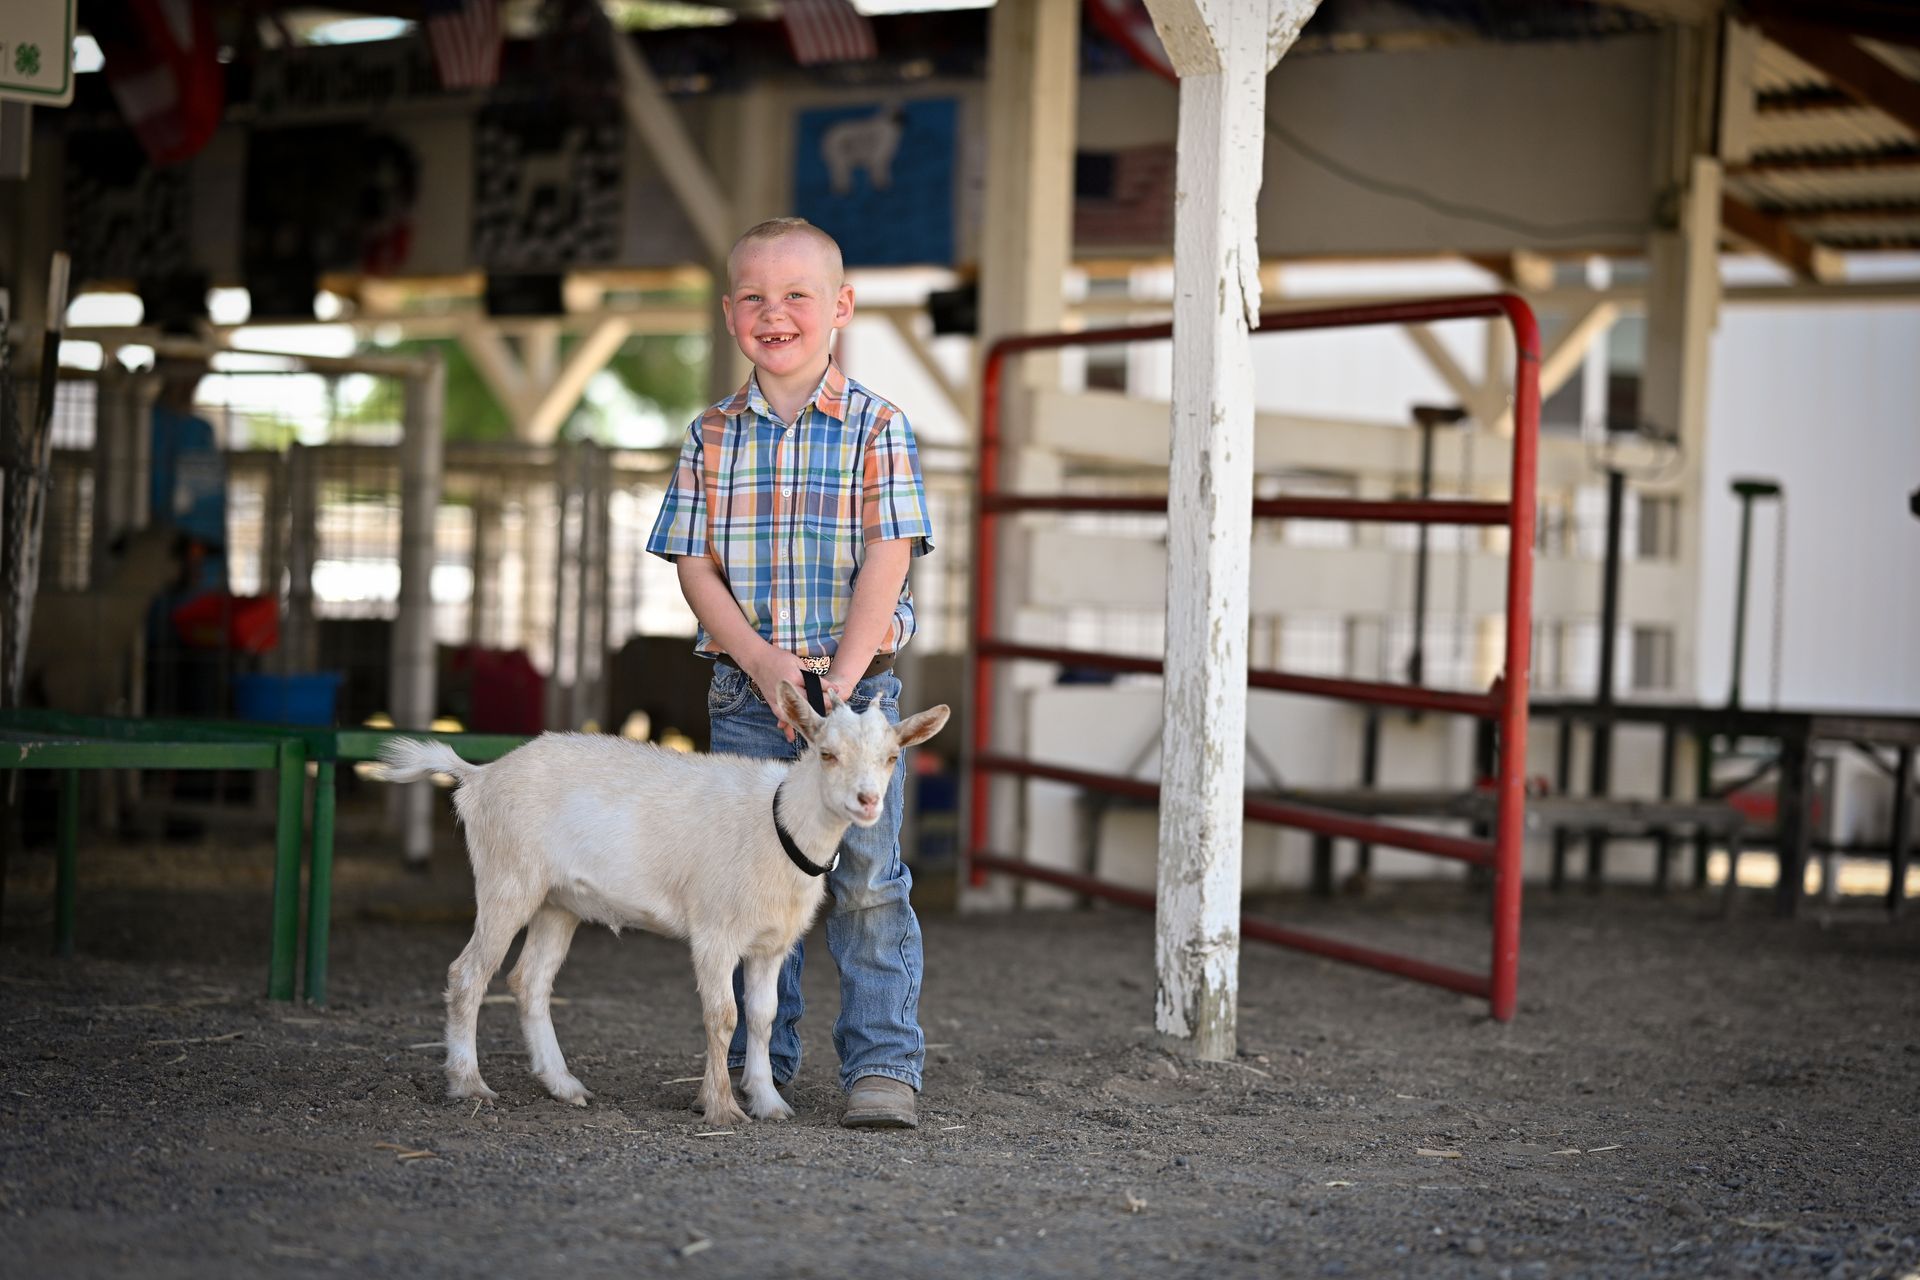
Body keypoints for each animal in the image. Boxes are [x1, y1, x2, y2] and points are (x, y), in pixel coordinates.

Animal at [374, 687, 944, 1128]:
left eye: (891, 758)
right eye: (826, 752)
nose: (868, 801)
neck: (779, 825)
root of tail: (479, 777)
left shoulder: (770, 943)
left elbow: (762, 1017)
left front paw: (767, 1101)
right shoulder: (715, 931)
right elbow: (723, 1015)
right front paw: (720, 1107)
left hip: (558, 902)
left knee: (528, 980)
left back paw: (564, 1084)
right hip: (507, 877)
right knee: (469, 973)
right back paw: (469, 1083)